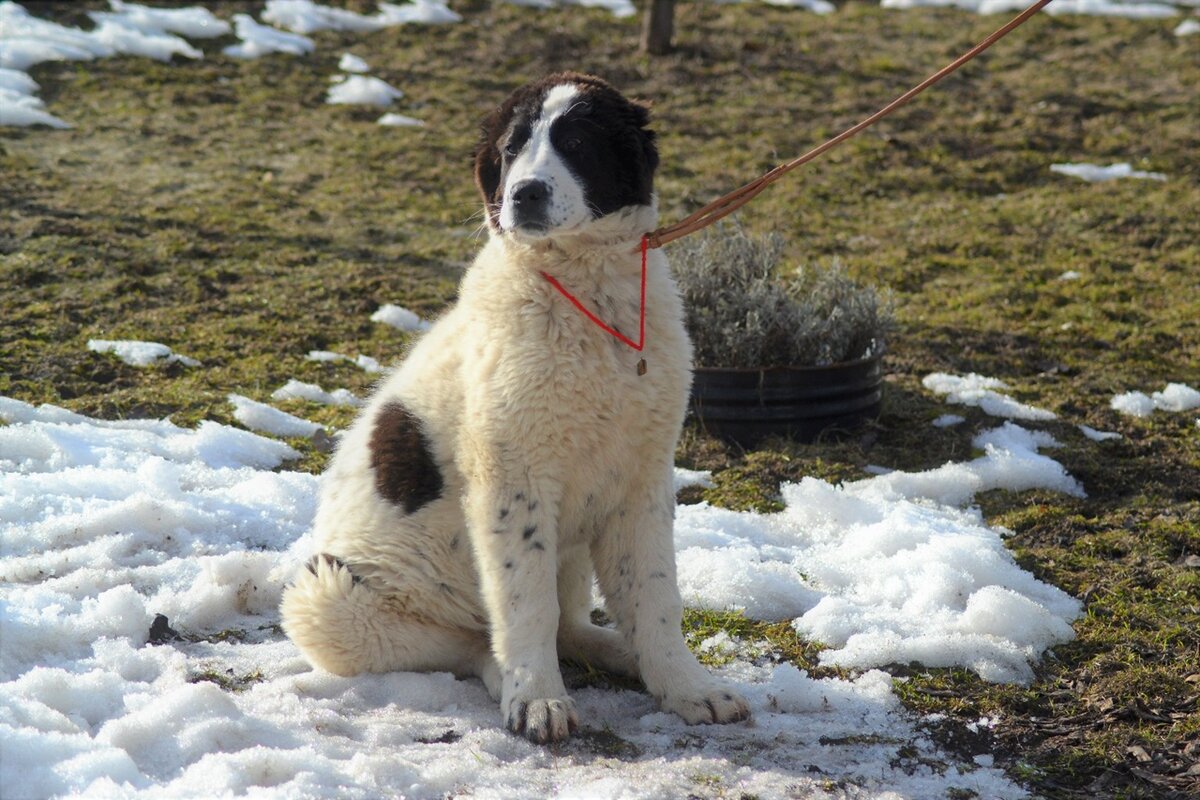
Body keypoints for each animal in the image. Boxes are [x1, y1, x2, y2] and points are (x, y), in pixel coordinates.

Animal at [280, 71, 748, 743]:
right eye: (511, 148)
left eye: (577, 141)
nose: (524, 194)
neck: (587, 297)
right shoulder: (511, 480)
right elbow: (526, 603)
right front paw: (538, 700)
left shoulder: (642, 479)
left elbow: (655, 596)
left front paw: (687, 688)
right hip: (328, 597)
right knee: (478, 642)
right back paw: (514, 679)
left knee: (570, 625)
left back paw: (619, 654)